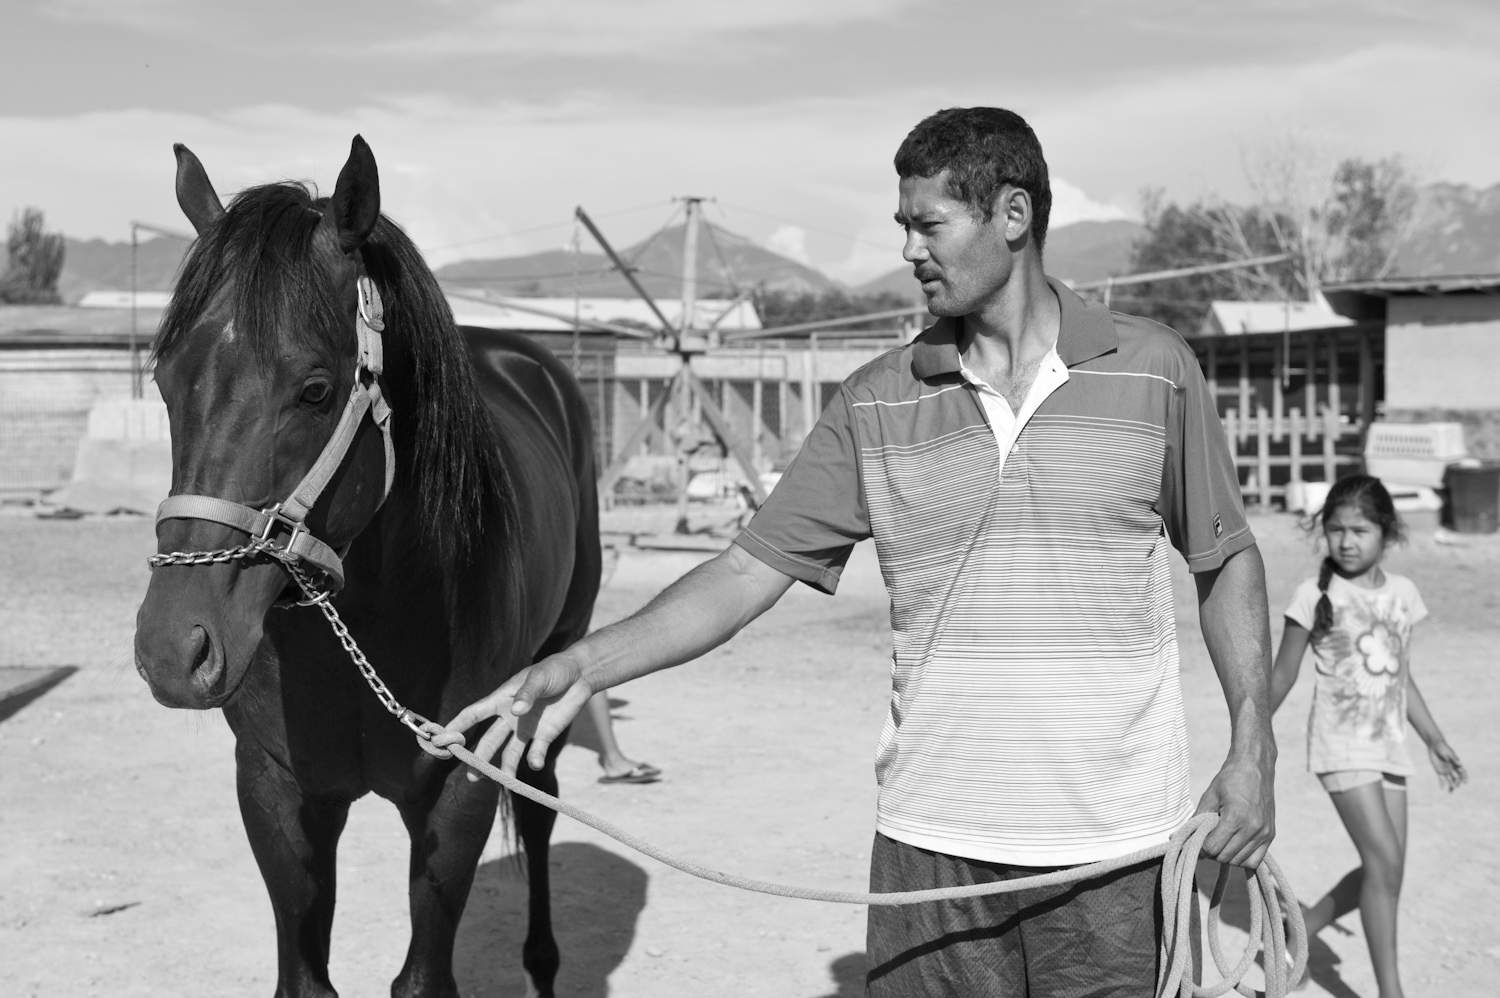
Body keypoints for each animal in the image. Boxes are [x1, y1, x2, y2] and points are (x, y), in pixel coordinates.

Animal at [130, 134, 597, 996]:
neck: (371, 618)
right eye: (166, 379)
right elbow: (305, 975)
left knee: (540, 802)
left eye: (315, 390)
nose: (174, 650)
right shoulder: (277, 790)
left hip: (561, 658)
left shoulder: (457, 789)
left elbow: (423, 974)